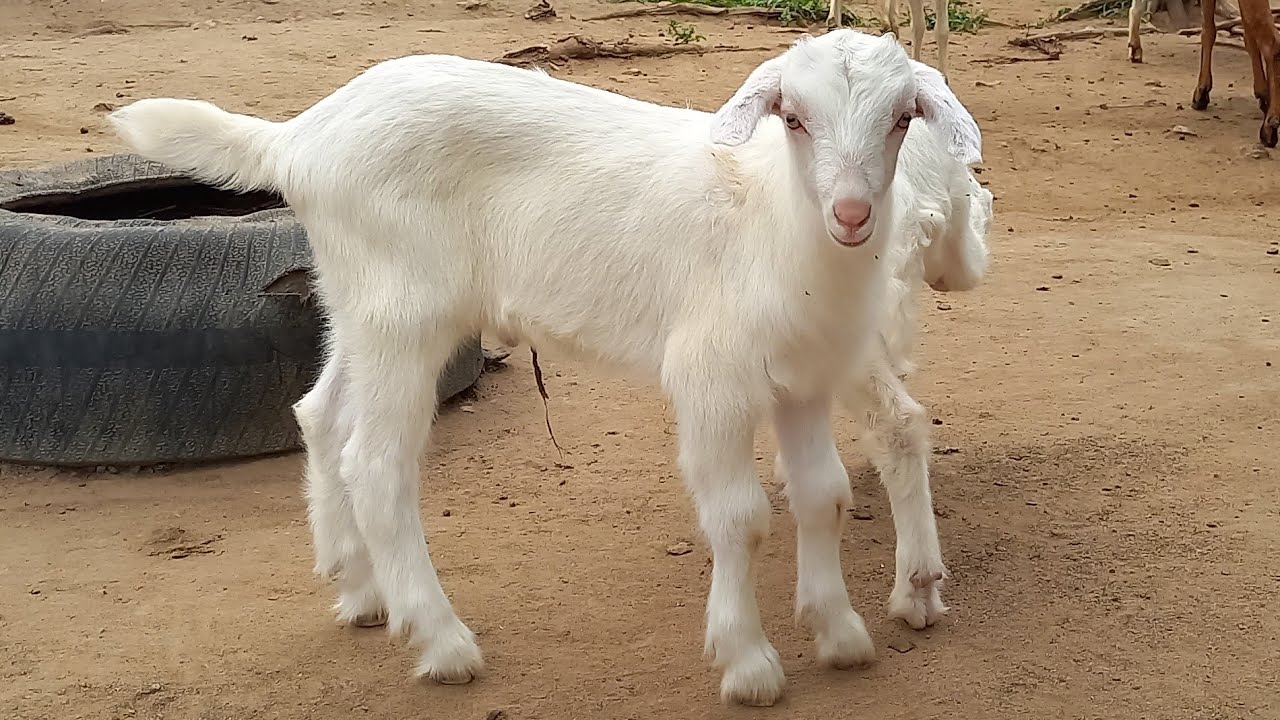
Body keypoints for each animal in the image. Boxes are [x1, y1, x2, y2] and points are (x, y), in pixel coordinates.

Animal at [107, 29, 983, 706]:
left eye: (902, 118)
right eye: (794, 118)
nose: (851, 213)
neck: (769, 219)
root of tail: (298, 138)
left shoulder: (802, 381)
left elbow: (823, 498)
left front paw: (840, 633)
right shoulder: (711, 379)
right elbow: (741, 517)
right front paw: (749, 664)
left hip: (356, 300)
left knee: (319, 414)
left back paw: (359, 591)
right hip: (404, 310)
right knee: (378, 463)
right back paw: (442, 641)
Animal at [1191, 0, 1280, 146]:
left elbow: (1207, 28)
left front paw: (1201, 93)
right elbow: (1248, 35)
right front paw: (1263, 95)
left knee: (1272, 43)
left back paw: (1269, 126)